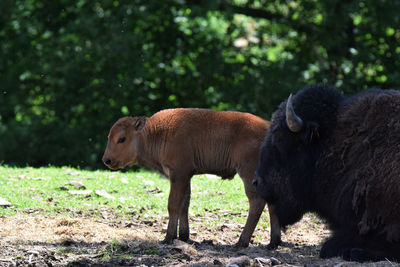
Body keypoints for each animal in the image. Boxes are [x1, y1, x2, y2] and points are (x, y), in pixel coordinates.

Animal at [102, 108, 282, 248]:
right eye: (108, 137)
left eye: (122, 138)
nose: (107, 160)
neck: (155, 133)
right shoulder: (186, 177)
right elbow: (185, 204)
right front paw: (183, 236)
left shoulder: (178, 174)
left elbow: (173, 205)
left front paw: (168, 238)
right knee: (272, 203)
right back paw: (273, 242)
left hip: (248, 173)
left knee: (256, 202)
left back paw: (241, 242)